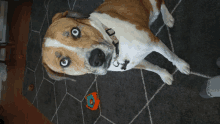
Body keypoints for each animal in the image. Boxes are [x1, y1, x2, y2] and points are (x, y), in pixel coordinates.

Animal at [42, 0, 190, 85]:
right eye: (64, 62)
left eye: (75, 31)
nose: (96, 57)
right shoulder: (136, 63)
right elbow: (153, 68)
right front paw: (164, 75)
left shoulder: (154, 42)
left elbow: (171, 56)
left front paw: (182, 65)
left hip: (154, 5)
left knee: (162, 3)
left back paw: (167, 18)